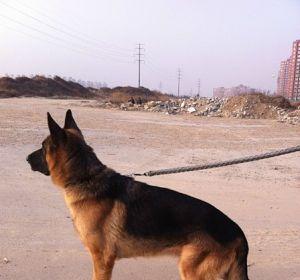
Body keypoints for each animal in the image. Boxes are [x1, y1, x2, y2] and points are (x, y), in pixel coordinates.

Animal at [27, 110, 250, 278]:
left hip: (191, 272)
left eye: (42, 147)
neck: (86, 178)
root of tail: (239, 234)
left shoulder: (102, 260)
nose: (26, 158)